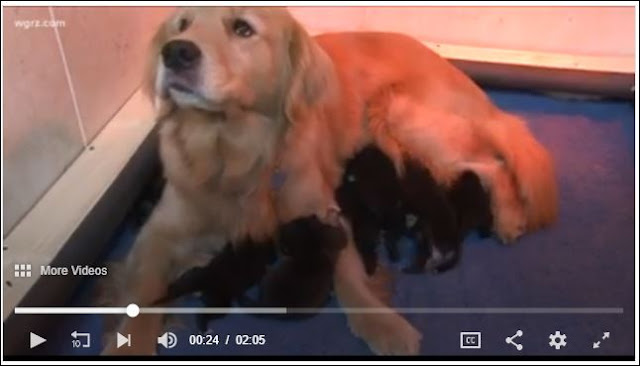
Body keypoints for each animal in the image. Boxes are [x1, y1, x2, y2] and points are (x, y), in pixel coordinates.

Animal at [105, 7, 556, 356]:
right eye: (182, 25)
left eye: (243, 28)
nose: (175, 52)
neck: (233, 151)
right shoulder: (158, 233)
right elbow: (140, 297)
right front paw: (127, 343)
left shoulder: (323, 211)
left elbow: (351, 277)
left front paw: (383, 324)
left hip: (405, 117)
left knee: (490, 164)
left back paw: (509, 218)